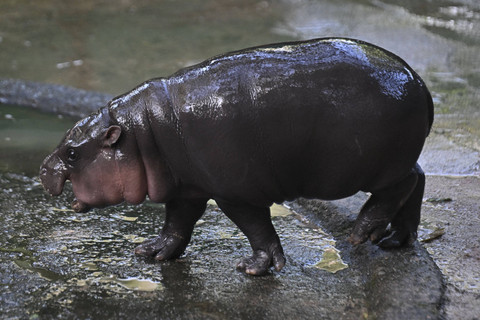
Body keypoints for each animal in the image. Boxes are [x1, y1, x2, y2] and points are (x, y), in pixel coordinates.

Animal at [39, 38, 434, 276]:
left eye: (72, 153)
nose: (43, 168)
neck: (141, 133)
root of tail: (419, 81)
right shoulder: (188, 187)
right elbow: (176, 222)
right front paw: (151, 252)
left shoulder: (234, 192)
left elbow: (256, 227)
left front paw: (254, 268)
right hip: (397, 158)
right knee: (419, 178)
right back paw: (395, 240)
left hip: (373, 167)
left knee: (401, 186)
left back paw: (362, 233)